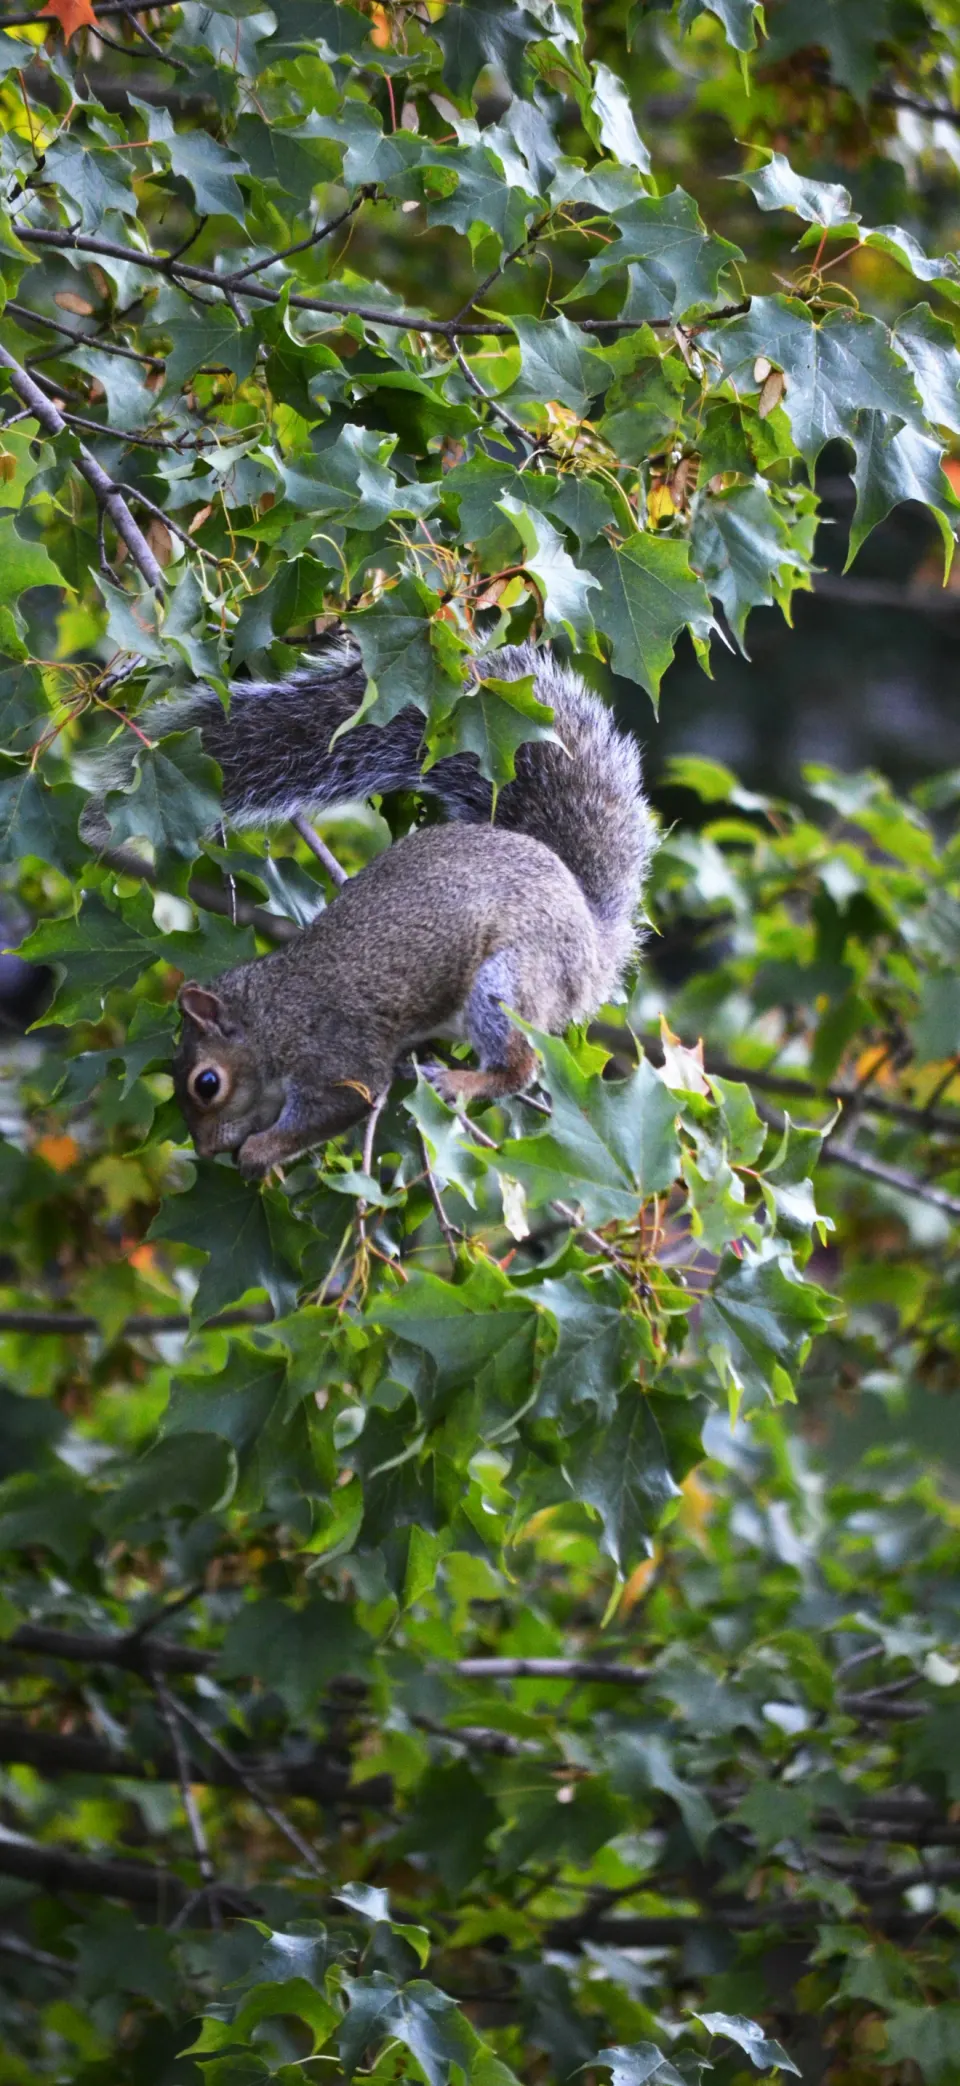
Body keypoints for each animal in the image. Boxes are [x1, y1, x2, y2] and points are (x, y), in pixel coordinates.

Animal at [85, 642, 654, 1179]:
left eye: (207, 1083)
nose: (206, 1150)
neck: (270, 1017)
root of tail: (593, 938)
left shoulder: (337, 1056)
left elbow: (339, 1105)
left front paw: (260, 1152)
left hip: (511, 976)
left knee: (519, 1066)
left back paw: (458, 1080)